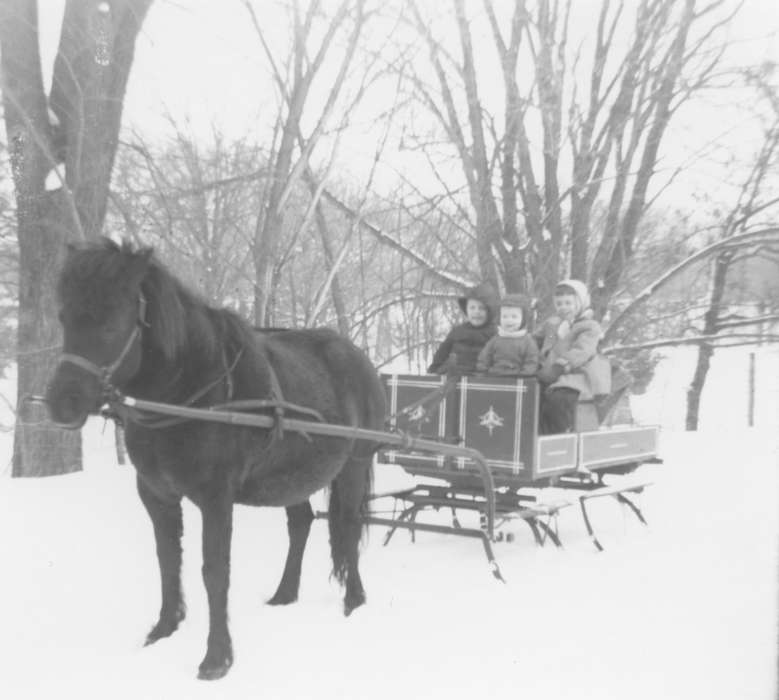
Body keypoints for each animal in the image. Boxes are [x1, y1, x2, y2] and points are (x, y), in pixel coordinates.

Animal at [45, 239, 386, 680]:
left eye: (112, 322)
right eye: (65, 317)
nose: (61, 403)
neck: (190, 392)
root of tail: (358, 358)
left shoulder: (216, 498)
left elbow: (214, 571)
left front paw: (217, 657)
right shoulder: (156, 494)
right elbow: (168, 560)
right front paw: (163, 629)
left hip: (353, 467)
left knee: (346, 526)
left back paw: (354, 600)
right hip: (294, 476)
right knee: (301, 524)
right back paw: (284, 593)